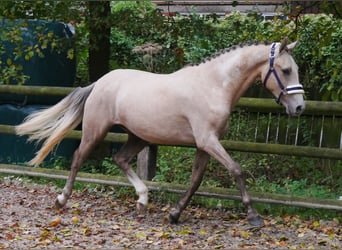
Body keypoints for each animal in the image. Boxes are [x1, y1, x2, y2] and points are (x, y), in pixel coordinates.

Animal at [15, 38, 304, 227]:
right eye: (286, 70)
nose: (299, 107)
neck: (213, 86)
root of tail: (100, 82)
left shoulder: (205, 144)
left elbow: (195, 180)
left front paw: (174, 214)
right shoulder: (208, 141)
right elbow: (236, 170)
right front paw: (254, 216)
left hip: (137, 136)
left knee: (120, 159)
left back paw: (142, 201)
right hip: (96, 130)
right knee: (78, 158)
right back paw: (62, 200)